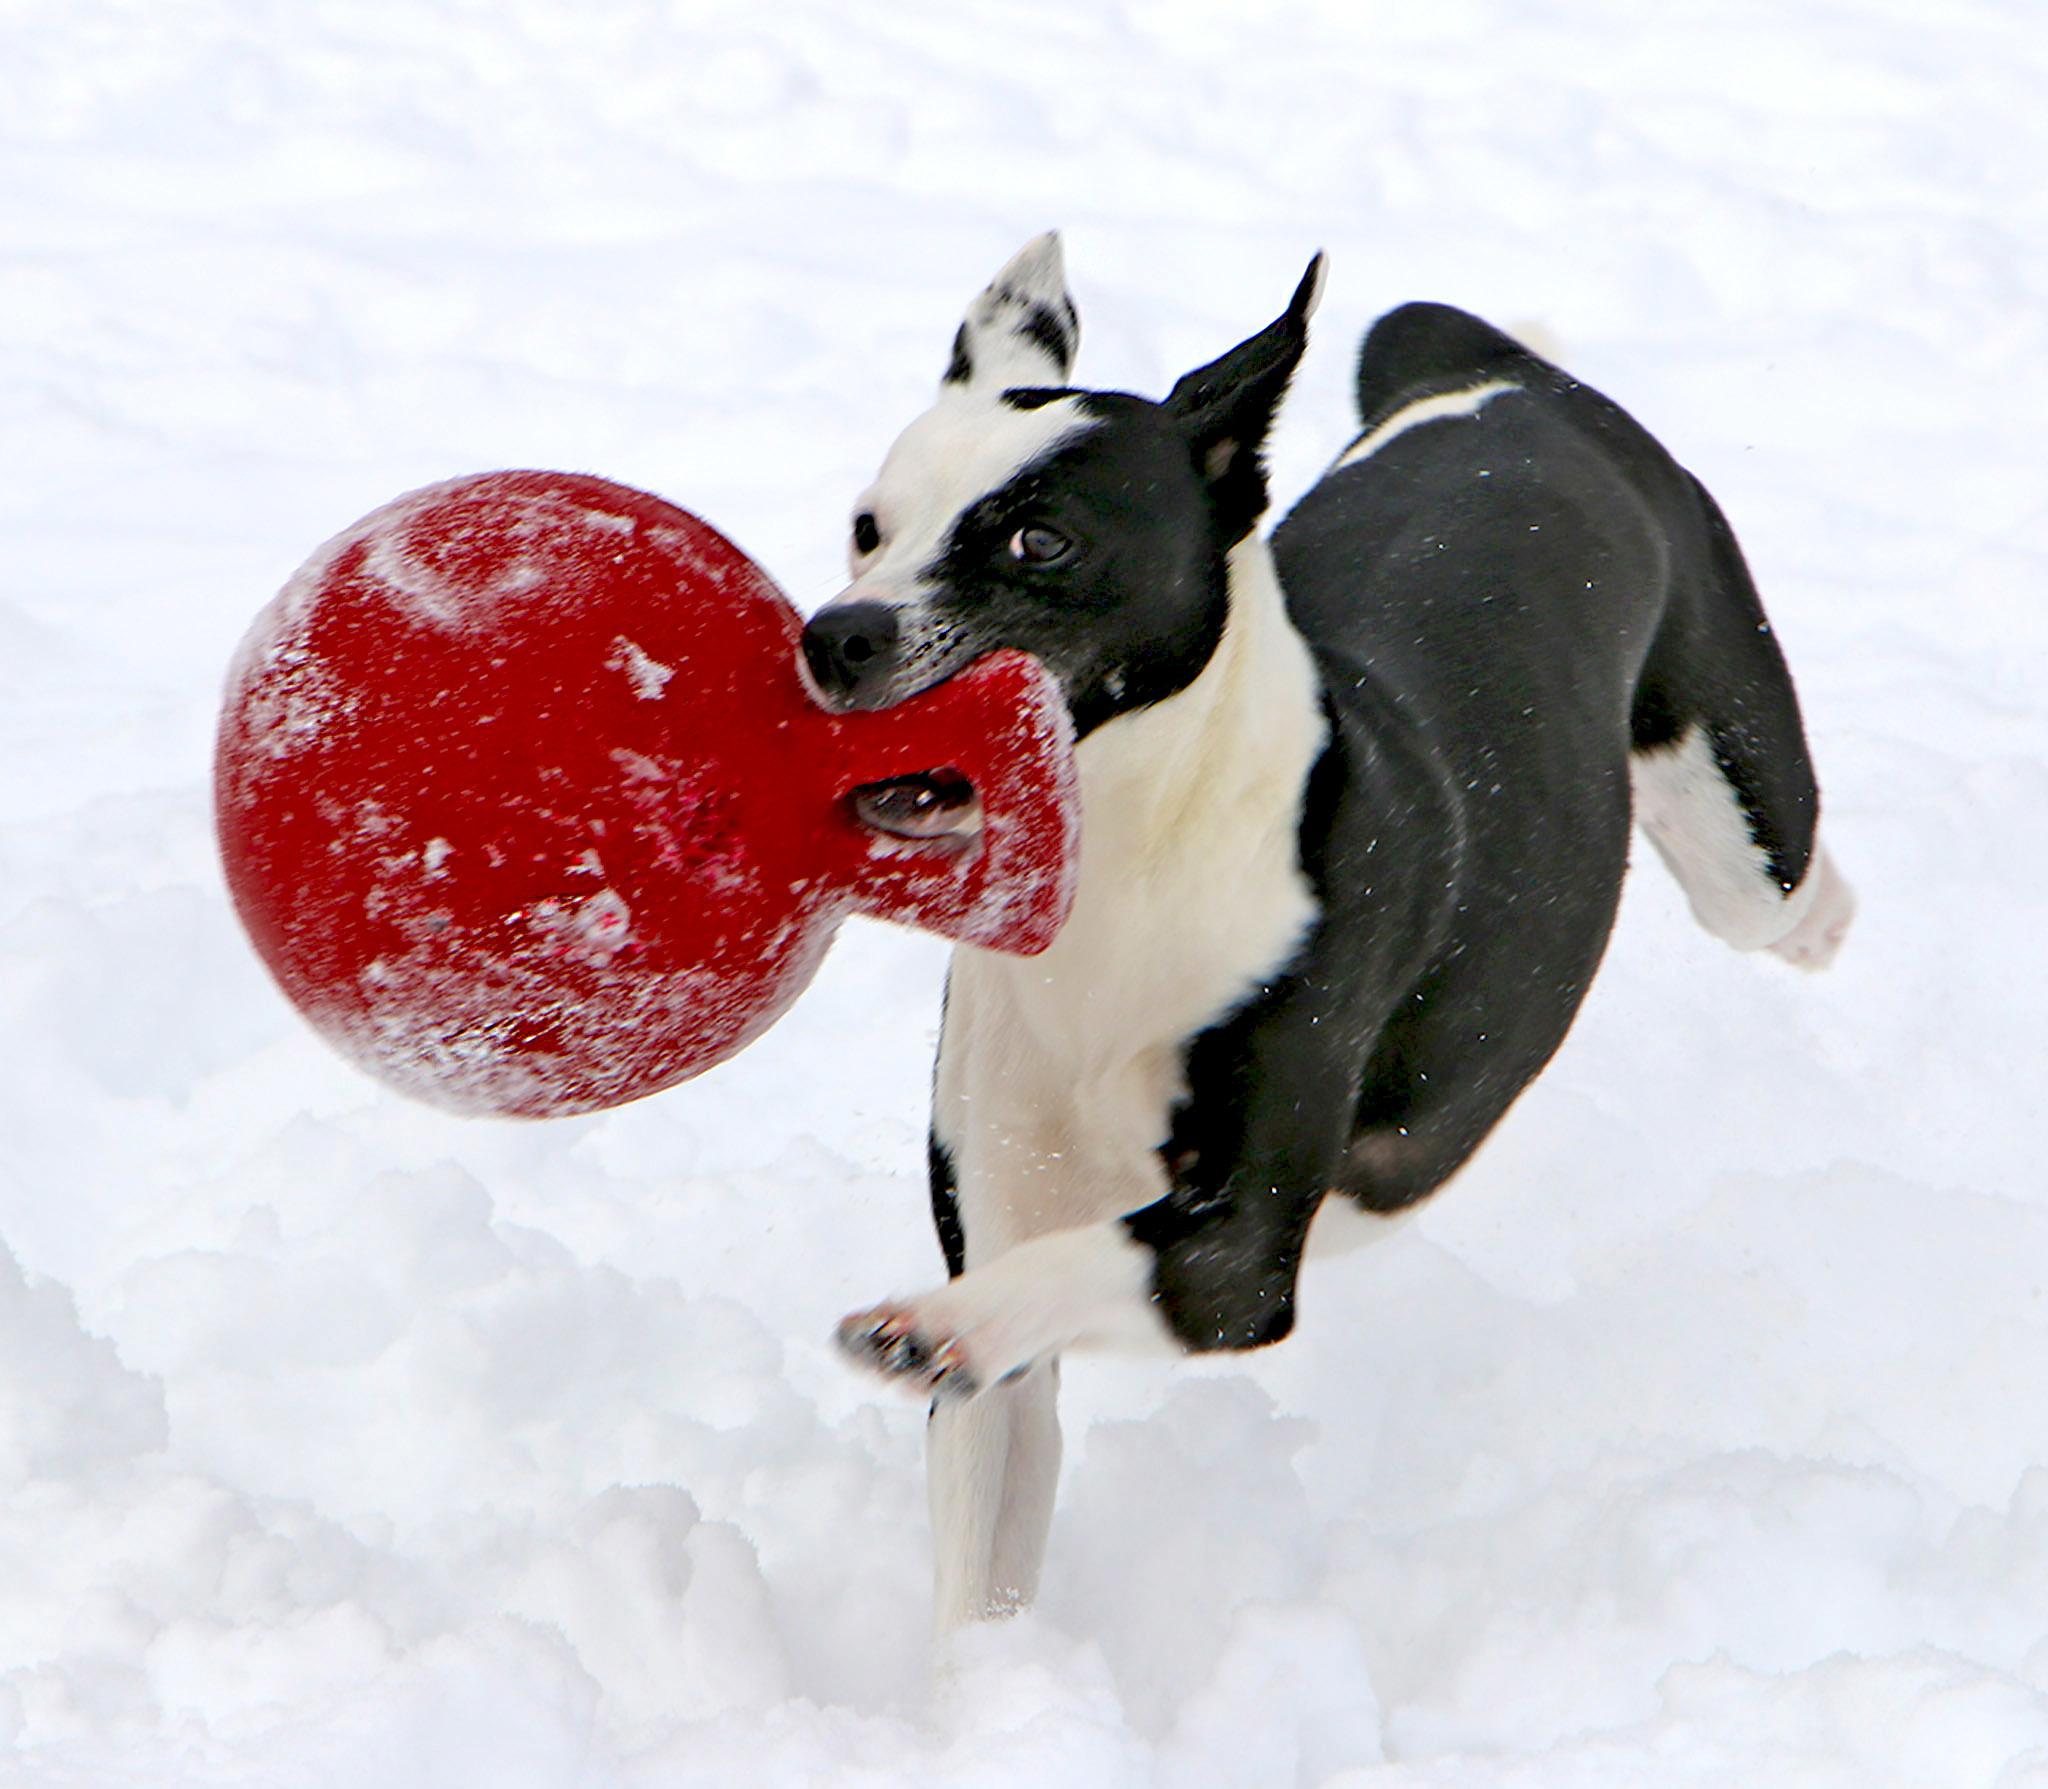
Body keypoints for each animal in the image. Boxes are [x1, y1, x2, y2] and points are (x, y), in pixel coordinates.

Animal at [794, 237, 1859, 1629]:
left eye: (1040, 537)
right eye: (868, 526)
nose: (835, 633)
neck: (1133, 869)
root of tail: (1507, 385)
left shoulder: (1236, 1258)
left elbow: (1096, 1268)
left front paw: (930, 1327)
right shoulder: (1003, 1231)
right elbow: (983, 1560)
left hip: (1739, 815)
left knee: (1793, 899)